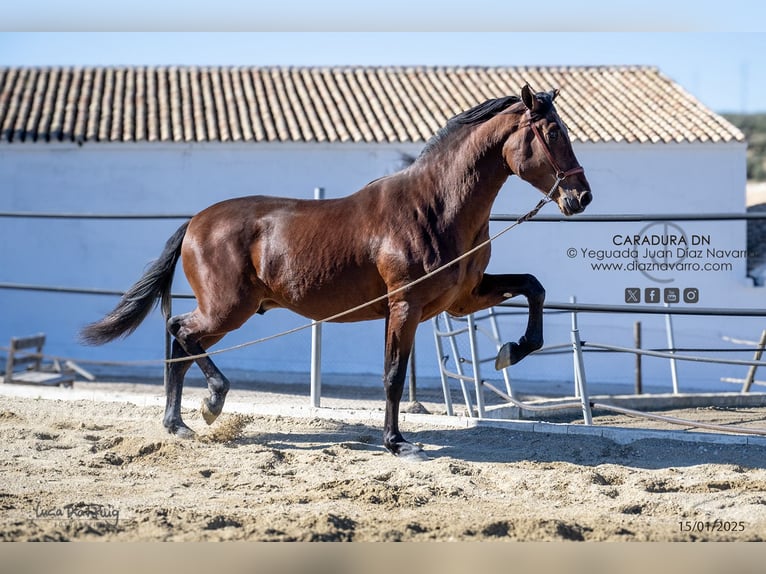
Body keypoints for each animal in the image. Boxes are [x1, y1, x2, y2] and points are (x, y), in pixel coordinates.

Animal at [79, 85, 592, 462]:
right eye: (551, 133)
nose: (581, 197)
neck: (434, 206)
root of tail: (195, 222)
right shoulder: (405, 304)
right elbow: (392, 374)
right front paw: (397, 444)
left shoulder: (462, 299)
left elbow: (533, 287)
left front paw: (513, 350)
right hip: (227, 308)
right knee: (181, 333)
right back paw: (210, 404)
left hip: (229, 310)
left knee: (181, 343)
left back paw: (178, 424)